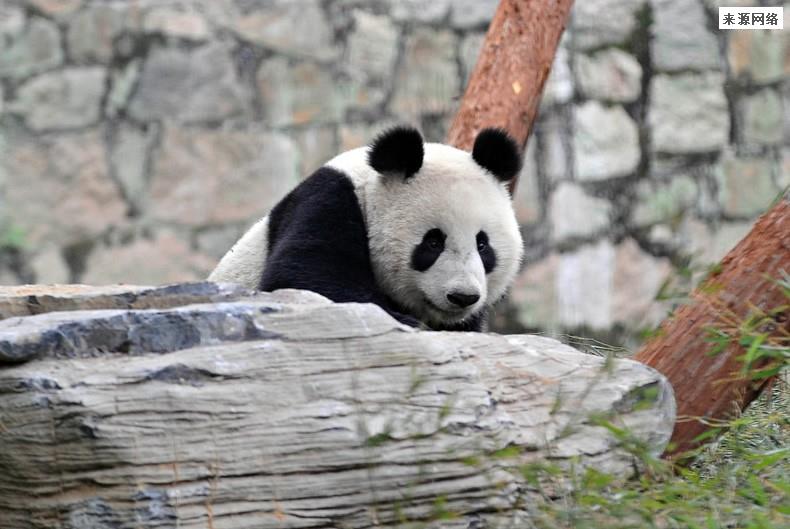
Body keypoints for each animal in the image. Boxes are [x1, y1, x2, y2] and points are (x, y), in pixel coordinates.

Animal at [209, 126, 524, 330]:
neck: (368, 190)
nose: (462, 296)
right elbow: (301, 275)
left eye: (483, 245)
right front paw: (404, 321)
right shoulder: (329, 200)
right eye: (433, 242)